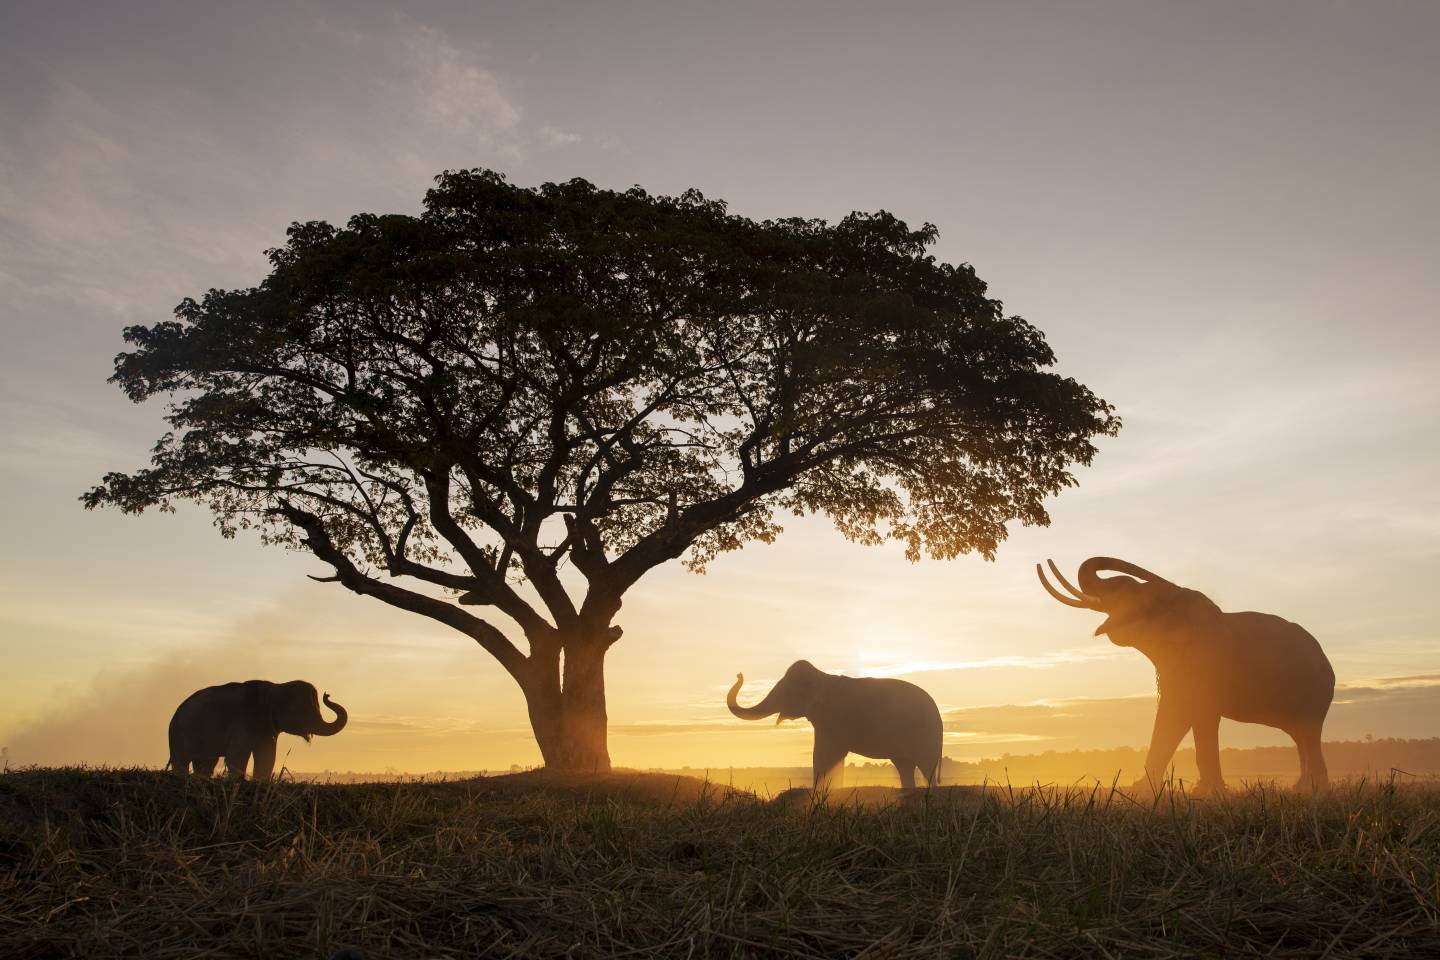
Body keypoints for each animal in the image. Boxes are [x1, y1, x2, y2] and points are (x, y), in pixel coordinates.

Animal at [167, 676, 347, 782]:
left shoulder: (268, 729)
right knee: (182, 761)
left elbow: (267, 755)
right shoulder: (243, 721)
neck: (276, 687)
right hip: (178, 735)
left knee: (206, 763)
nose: (327, 695)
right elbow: (236, 755)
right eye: (300, 709)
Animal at [720, 662, 944, 788]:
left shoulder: (834, 719)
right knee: (905, 766)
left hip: (926, 735)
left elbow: (825, 754)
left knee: (926, 767)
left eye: (786, 691)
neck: (823, 676)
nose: (739, 674)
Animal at [1036, 555, 1336, 794]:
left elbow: (1199, 715)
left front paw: (1207, 793)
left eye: (1126, 588)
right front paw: (1140, 790)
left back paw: (1313, 790)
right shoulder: (1173, 669)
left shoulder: (1208, 662)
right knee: (1300, 735)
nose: (1043, 561)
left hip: (1315, 692)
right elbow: (1171, 714)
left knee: (1308, 732)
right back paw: (1301, 788)